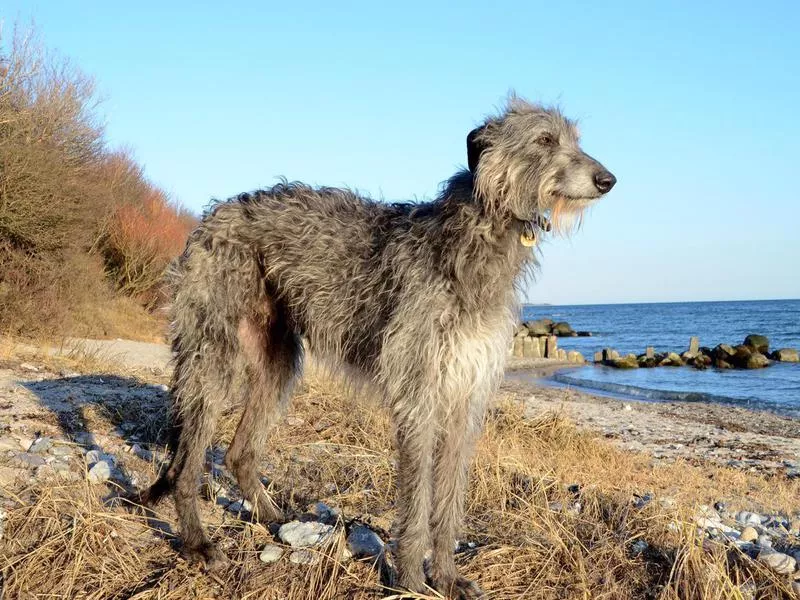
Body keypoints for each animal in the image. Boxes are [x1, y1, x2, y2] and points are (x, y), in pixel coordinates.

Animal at [142, 96, 620, 596]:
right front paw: (410, 579)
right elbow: (417, 503)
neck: (478, 234)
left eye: (575, 140)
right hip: (213, 351)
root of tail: (212, 216)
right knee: (186, 465)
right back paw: (197, 542)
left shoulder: (464, 396)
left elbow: (449, 500)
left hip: (276, 361)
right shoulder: (419, 392)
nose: (608, 180)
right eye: (544, 140)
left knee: (238, 452)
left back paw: (272, 517)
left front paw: (447, 577)